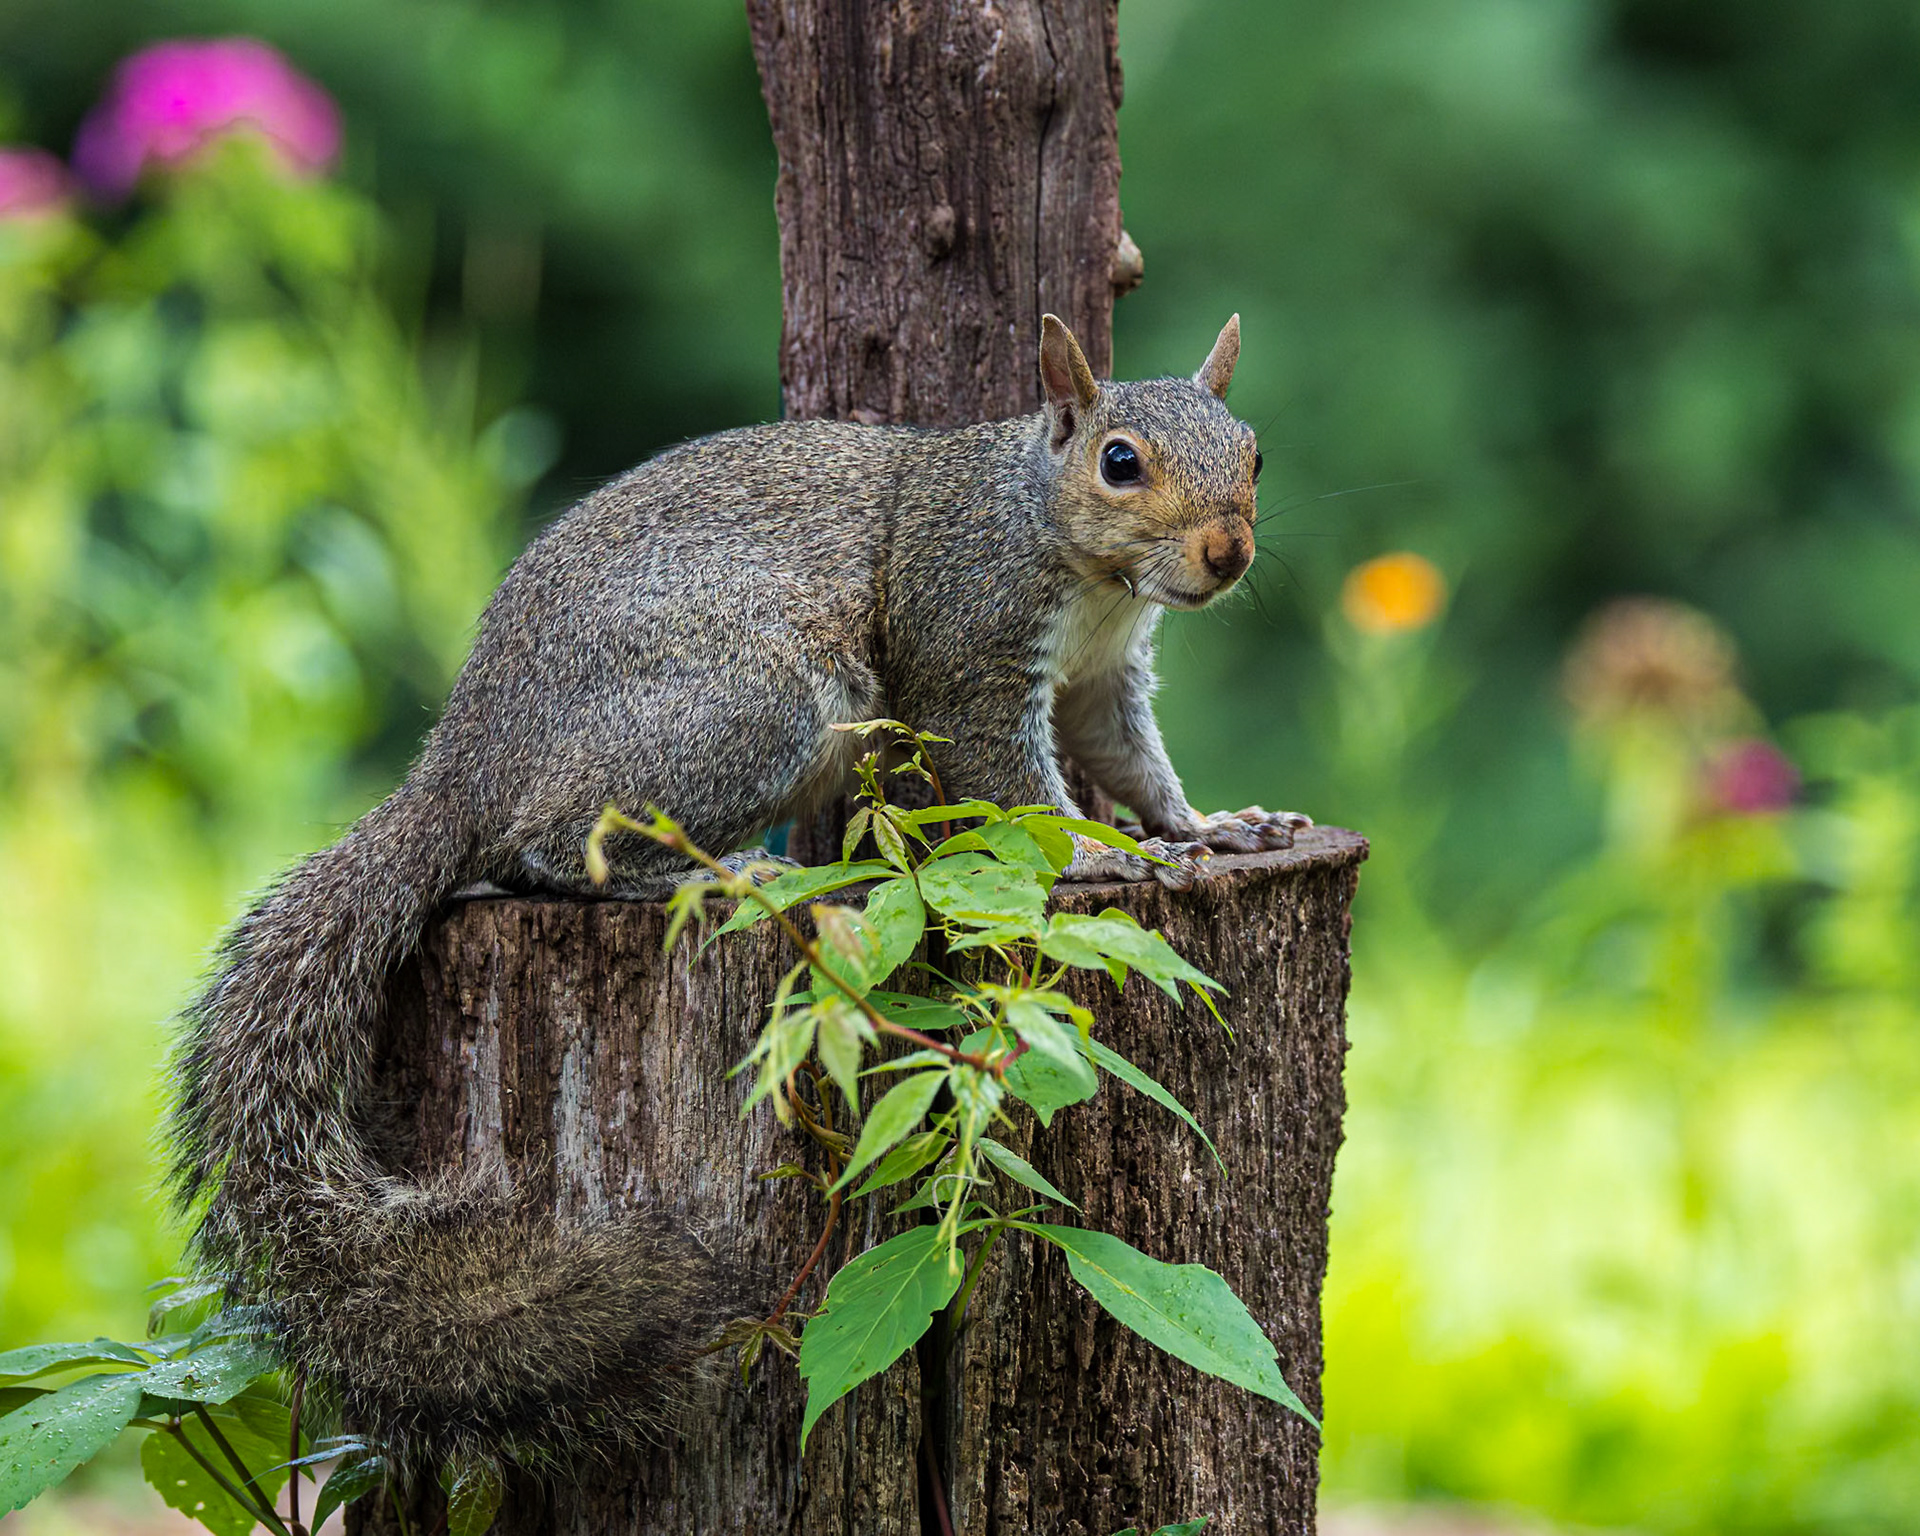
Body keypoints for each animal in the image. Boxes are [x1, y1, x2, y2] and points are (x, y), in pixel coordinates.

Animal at [169, 313, 1310, 1473]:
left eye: (1256, 452)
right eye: (1119, 462)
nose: (1229, 553)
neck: (1079, 562)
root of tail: (468, 756)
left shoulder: (1102, 680)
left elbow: (1133, 766)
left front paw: (1213, 828)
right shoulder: (966, 639)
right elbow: (1012, 780)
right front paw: (1092, 859)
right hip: (747, 703)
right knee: (546, 849)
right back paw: (726, 873)